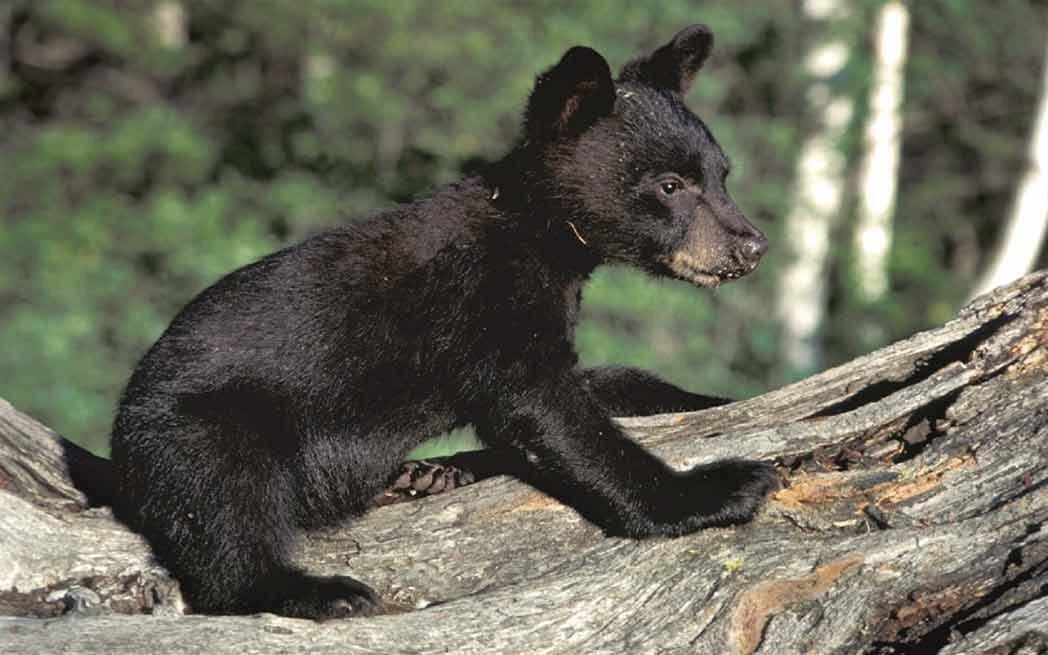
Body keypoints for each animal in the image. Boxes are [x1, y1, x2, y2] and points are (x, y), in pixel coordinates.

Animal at [110, 24, 776, 621]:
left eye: (721, 174)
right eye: (670, 185)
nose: (751, 246)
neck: (539, 237)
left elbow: (601, 385)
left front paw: (715, 400)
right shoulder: (486, 304)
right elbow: (555, 416)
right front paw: (725, 486)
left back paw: (423, 476)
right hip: (202, 425)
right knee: (223, 508)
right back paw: (322, 590)